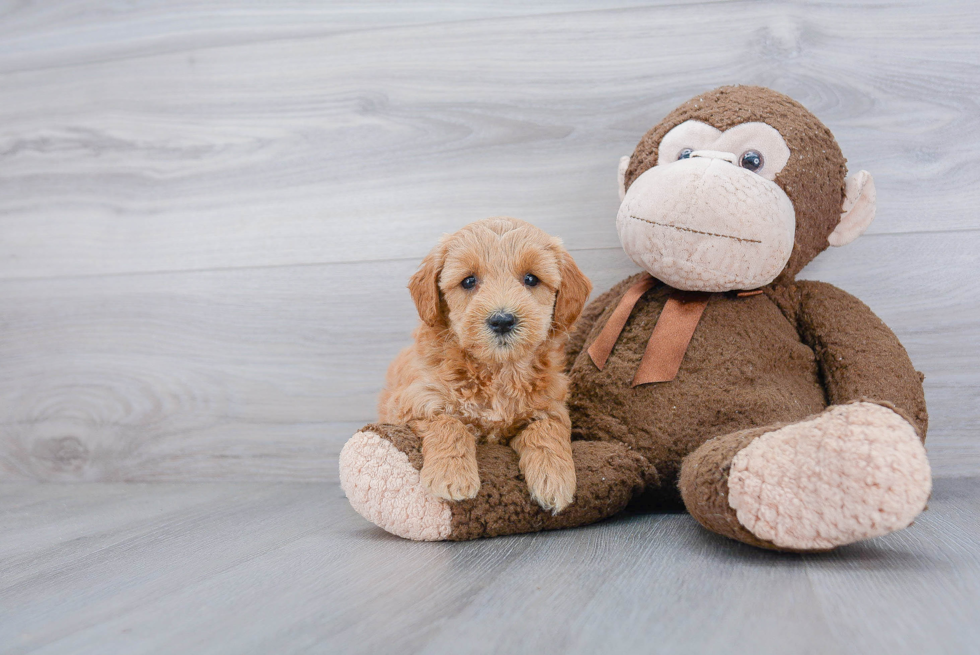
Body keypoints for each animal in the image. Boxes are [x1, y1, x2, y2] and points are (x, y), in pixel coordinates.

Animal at [378, 218, 588, 516]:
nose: (502, 320)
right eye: (469, 281)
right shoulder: (413, 403)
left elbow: (547, 430)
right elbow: (448, 422)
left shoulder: (550, 407)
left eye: (531, 279)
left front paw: (554, 479)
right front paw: (451, 475)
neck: (497, 371)